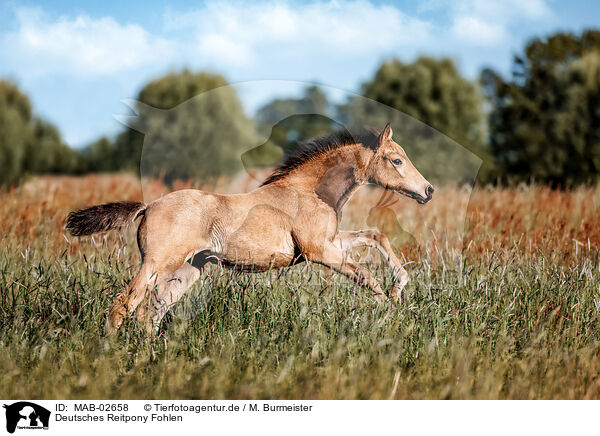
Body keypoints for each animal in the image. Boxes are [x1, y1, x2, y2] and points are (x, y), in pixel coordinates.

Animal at [65, 123, 434, 334]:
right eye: (397, 160)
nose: (428, 190)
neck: (308, 191)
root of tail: (149, 206)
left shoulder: (330, 243)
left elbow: (374, 236)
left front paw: (399, 288)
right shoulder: (319, 250)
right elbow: (365, 275)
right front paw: (389, 310)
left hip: (188, 270)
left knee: (151, 312)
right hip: (157, 264)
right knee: (125, 304)